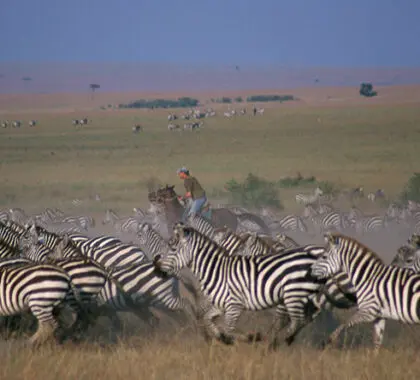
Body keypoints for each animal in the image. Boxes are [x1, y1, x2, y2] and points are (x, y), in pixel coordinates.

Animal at [153, 224, 330, 348]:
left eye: (173, 248)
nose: (155, 266)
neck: (217, 270)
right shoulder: (221, 305)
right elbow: (209, 320)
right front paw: (227, 338)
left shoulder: (234, 306)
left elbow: (229, 330)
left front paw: (250, 338)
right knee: (303, 319)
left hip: (294, 295)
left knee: (297, 321)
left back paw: (277, 343)